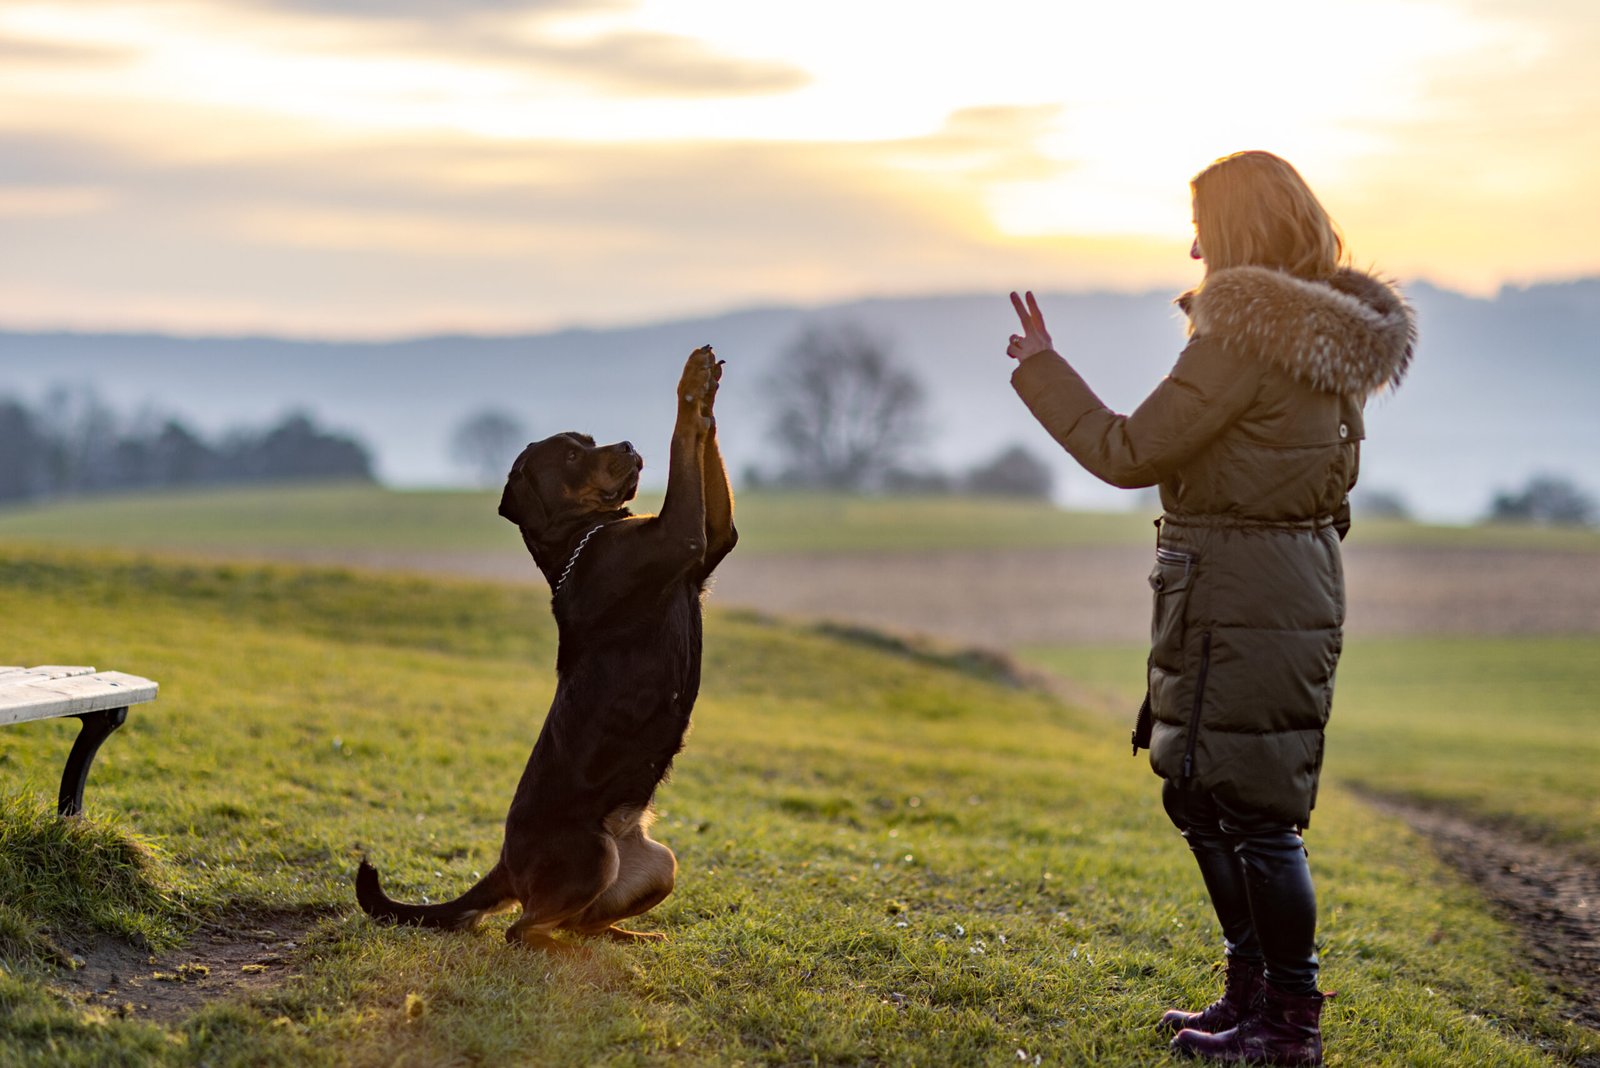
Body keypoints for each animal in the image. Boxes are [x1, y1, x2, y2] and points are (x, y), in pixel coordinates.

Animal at [353, 343, 732, 952]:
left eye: (592, 440)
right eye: (573, 456)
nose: (628, 446)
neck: (584, 536)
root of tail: (504, 864)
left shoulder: (712, 538)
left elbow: (703, 454)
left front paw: (708, 386)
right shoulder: (682, 534)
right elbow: (682, 441)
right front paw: (690, 384)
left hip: (658, 862)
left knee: (578, 920)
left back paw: (625, 936)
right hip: (589, 854)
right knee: (521, 927)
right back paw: (558, 944)